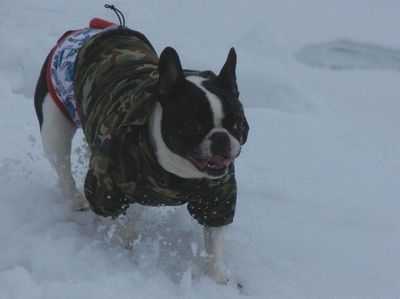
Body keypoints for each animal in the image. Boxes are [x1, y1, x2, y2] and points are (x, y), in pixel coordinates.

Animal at [34, 17, 248, 284]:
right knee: (61, 164)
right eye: (193, 125)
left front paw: (217, 276)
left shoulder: (217, 197)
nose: (221, 138)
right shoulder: (104, 190)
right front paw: (134, 248)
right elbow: (121, 230)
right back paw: (74, 199)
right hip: (55, 125)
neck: (177, 172)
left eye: (237, 123)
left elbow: (214, 240)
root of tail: (90, 28)